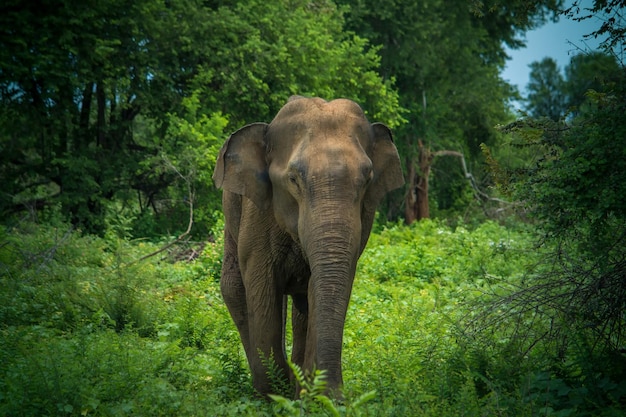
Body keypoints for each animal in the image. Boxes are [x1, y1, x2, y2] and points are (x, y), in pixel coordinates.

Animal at [212, 95, 402, 396]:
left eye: (368, 180)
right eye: (293, 179)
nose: (339, 397)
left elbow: (324, 286)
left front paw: (314, 397)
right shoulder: (258, 214)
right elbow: (263, 286)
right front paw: (274, 394)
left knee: (301, 305)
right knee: (233, 287)